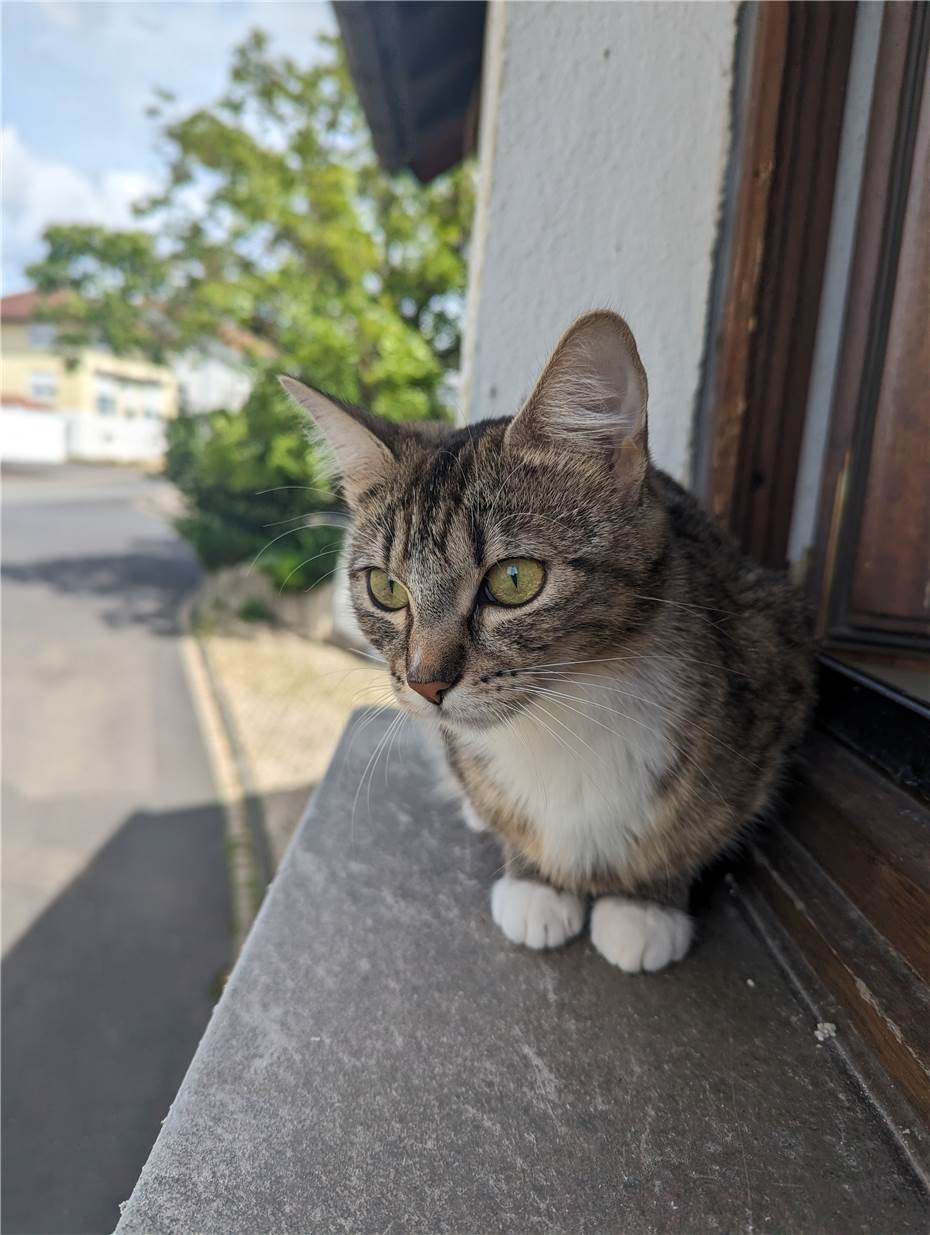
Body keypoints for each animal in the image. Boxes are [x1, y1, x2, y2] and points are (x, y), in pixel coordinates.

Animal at [281, 311, 810, 973]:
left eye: (514, 580)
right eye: (385, 588)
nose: (426, 684)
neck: (564, 716)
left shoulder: (770, 657)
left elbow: (702, 822)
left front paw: (646, 904)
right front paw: (535, 883)